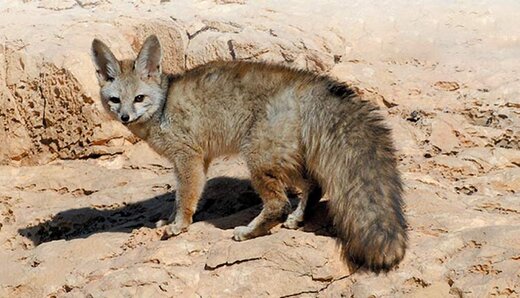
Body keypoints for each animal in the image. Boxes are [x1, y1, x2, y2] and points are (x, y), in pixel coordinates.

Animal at [91, 35, 408, 272]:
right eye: (115, 100)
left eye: (139, 98)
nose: (124, 117)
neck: (164, 105)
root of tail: (307, 81)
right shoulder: (199, 161)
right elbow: (181, 198)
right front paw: (169, 221)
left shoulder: (188, 159)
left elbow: (185, 199)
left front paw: (178, 226)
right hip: (282, 160)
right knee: (313, 187)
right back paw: (297, 219)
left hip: (257, 161)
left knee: (280, 204)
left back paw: (250, 231)